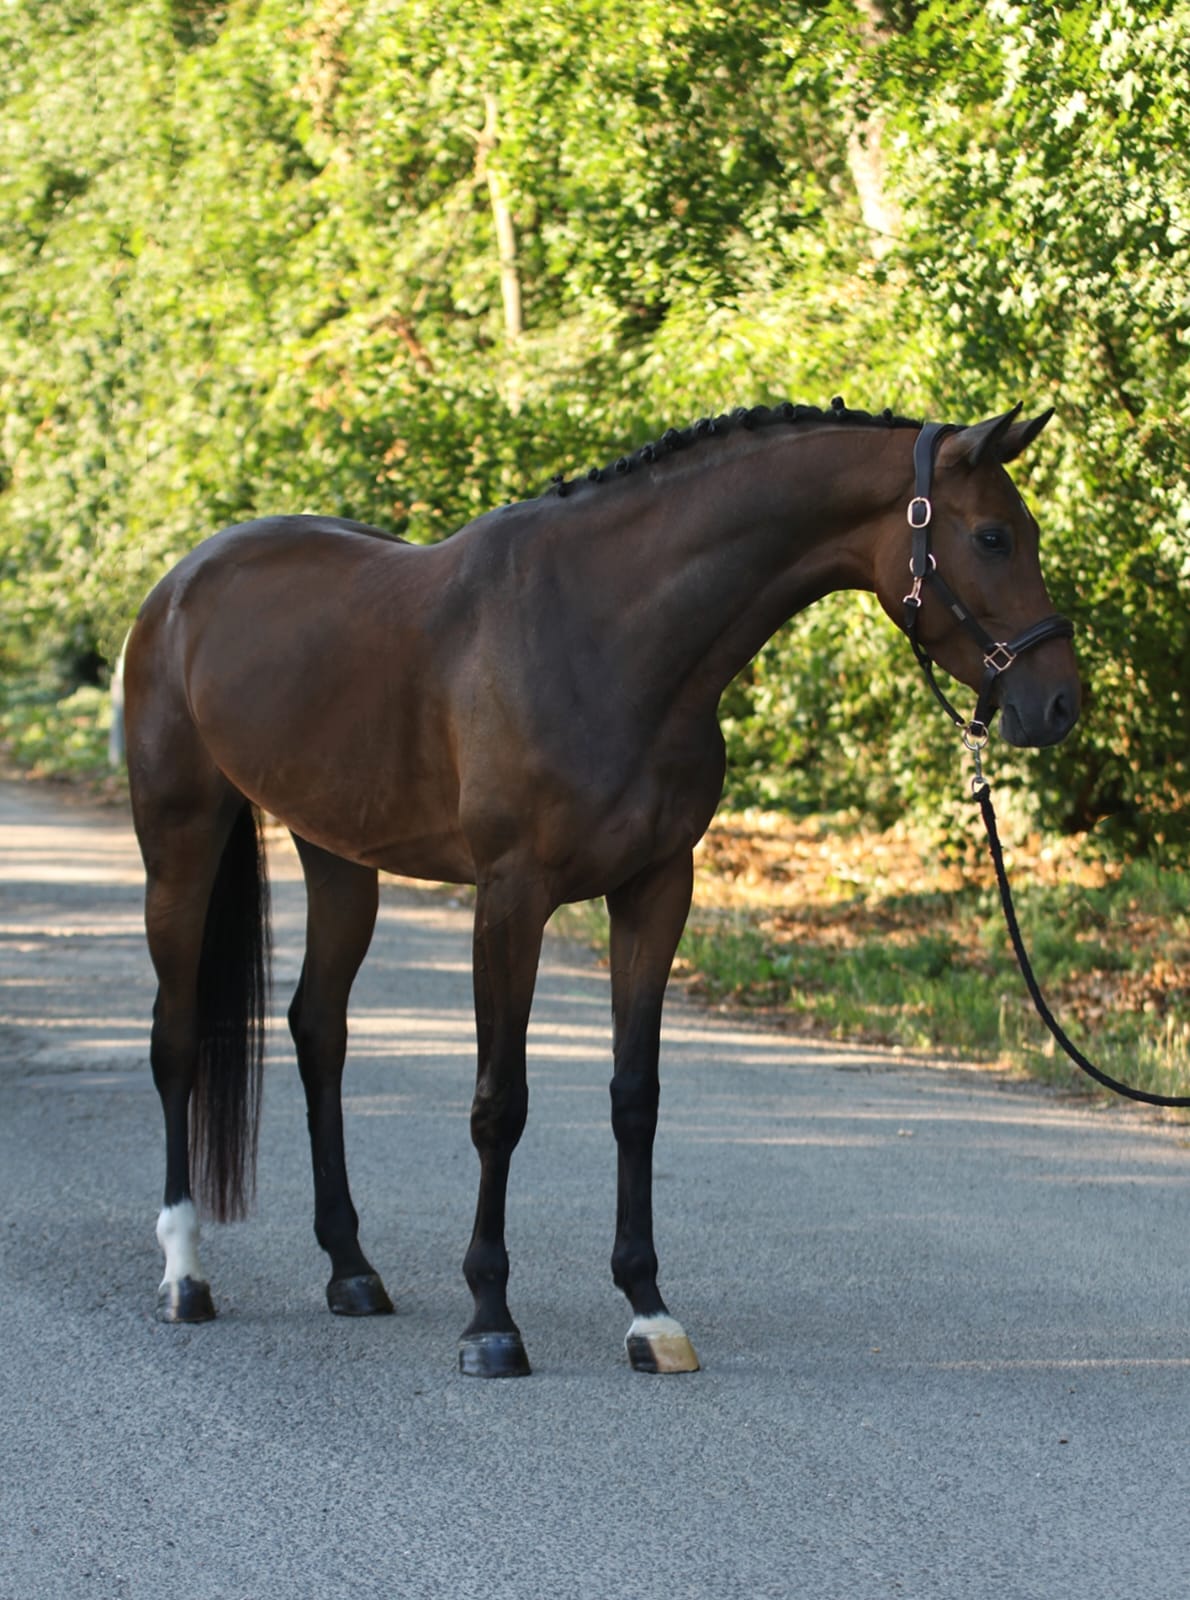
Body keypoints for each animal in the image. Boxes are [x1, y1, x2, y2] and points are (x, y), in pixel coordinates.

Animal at [120, 396, 1081, 1376]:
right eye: (994, 536)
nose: (1059, 705)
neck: (608, 636)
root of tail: (184, 581)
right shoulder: (510, 899)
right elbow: (500, 1103)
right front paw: (491, 1321)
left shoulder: (657, 890)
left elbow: (635, 1096)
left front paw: (648, 1311)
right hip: (180, 835)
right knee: (176, 1038)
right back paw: (185, 1274)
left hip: (339, 857)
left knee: (319, 1032)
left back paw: (351, 1270)